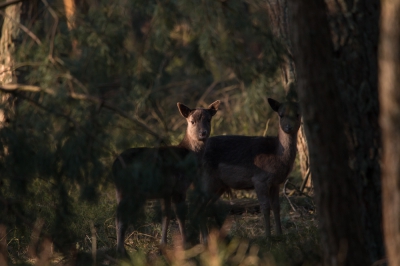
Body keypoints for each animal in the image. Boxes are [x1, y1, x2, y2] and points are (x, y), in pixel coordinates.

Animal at [111, 100, 219, 256]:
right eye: (192, 121)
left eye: (209, 119)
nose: (202, 133)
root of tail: (113, 168)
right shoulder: (179, 187)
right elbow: (180, 215)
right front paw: (185, 243)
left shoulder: (166, 192)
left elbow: (166, 217)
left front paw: (163, 245)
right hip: (129, 190)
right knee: (121, 217)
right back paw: (121, 250)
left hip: (121, 191)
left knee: (118, 216)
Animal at [197, 98, 300, 242]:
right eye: (281, 115)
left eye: (297, 114)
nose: (288, 127)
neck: (277, 155)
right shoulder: (260, 179)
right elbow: (265, 206)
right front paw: (268, 236)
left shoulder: (275, 183)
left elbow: (276, 206)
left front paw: (280, 234)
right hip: (207, 179)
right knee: (198, 206)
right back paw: (205, 240)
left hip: (219, 186)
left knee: (205, 207)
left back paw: (205, 240)